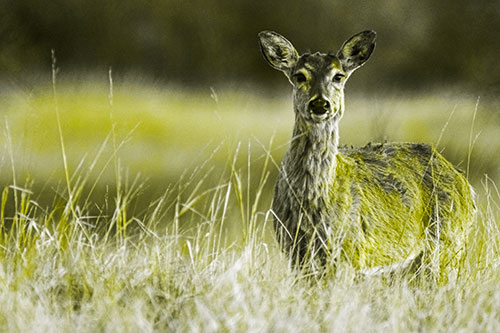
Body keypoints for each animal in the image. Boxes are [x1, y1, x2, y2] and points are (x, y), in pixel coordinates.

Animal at [258, 29, 476, 276]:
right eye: (299, 76)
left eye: (338, 76)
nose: (320, 104)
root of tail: (466, 185)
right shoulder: (294, 252)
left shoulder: (351, 252)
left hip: (447, 244)